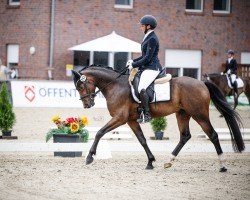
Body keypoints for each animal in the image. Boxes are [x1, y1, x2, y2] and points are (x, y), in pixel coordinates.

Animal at [72, 65, 244, 172]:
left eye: (80, 86)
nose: (87, 105)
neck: (115, 85)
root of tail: (202, 83)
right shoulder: (131, 120)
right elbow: (142, 140)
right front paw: (150, 161)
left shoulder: (120, 118)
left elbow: (99, 132)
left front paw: (89, 157)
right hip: (182, 114)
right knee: (185, 136)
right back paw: (169, 161)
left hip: (199, 114)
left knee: (213, 135)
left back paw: (222, 166)